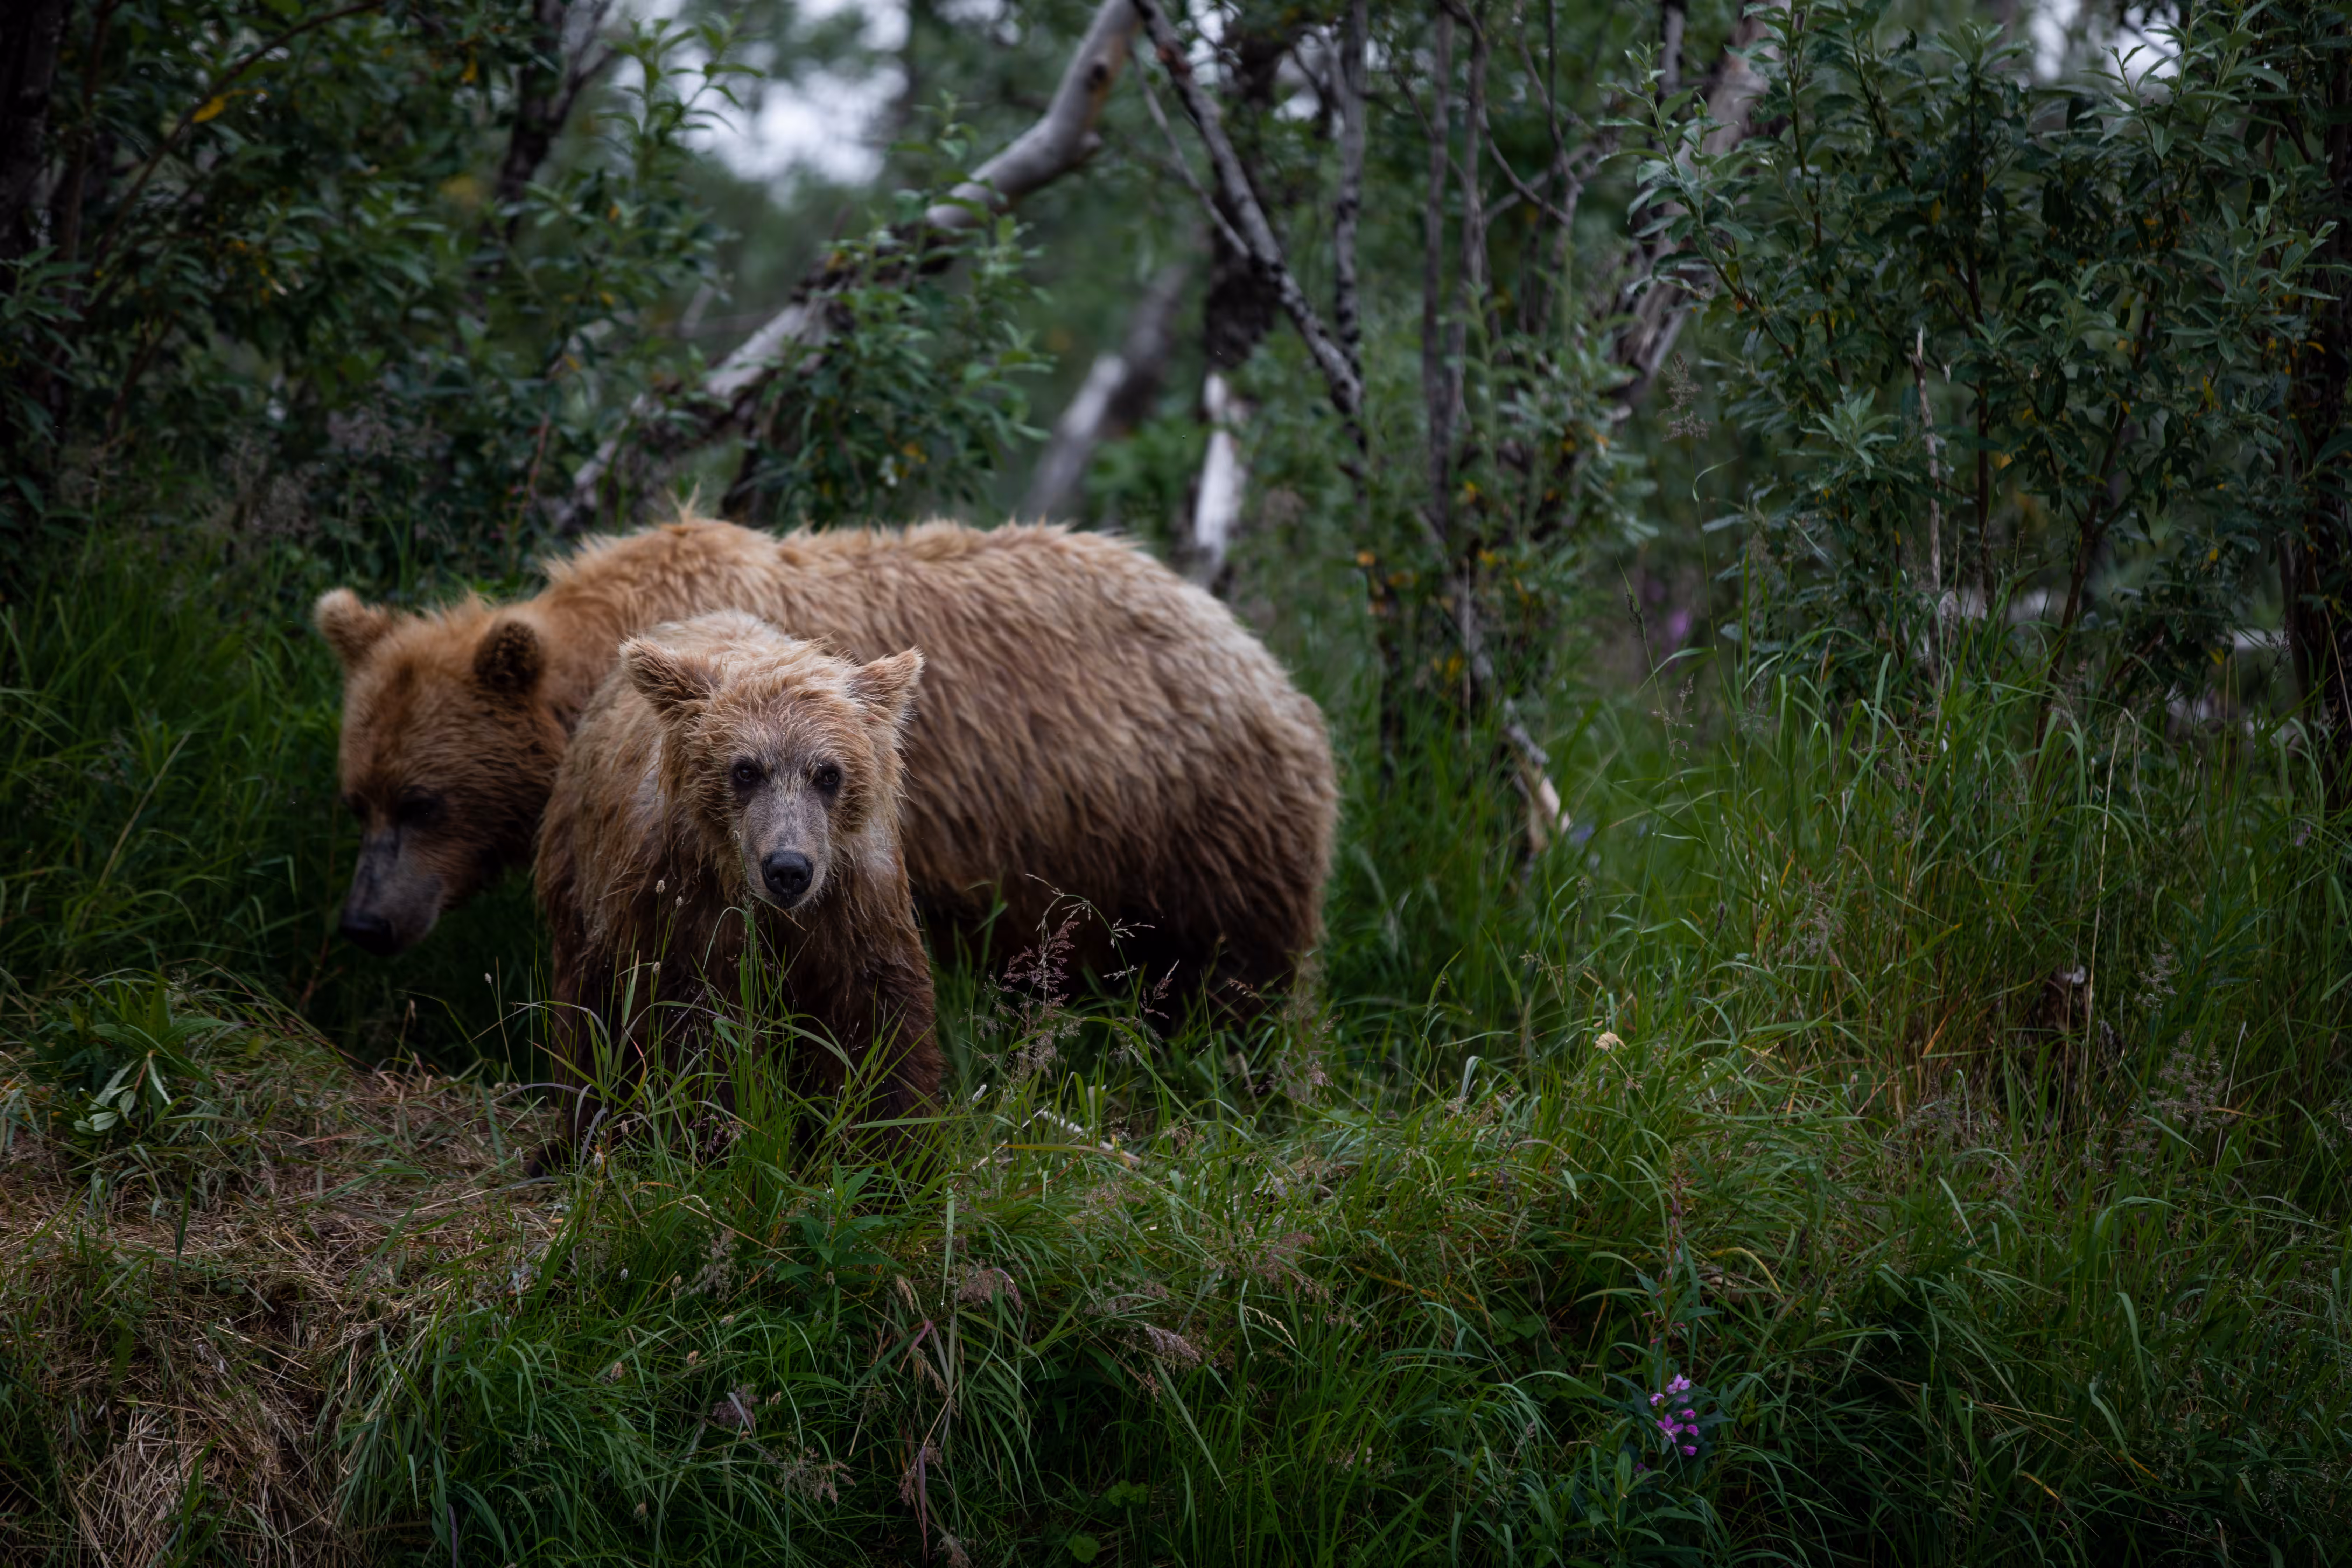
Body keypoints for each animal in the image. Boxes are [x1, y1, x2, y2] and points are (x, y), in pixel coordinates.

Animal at [317, 513, 1337, 1016]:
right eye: (359, 799)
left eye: (425, 802)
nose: (364, 922)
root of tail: (1260, 658)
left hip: (1197, 825)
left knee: (1236, 979)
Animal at [535, 611, 942, 1155]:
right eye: (746, 770)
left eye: (829, 774)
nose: (788, 868)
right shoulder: (685, 902)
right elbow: (699, 1033)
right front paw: (717, 1137)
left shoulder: (854, 901)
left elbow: (879, 1019)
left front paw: (895, 1149)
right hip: (582, 871)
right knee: (588, 1011)